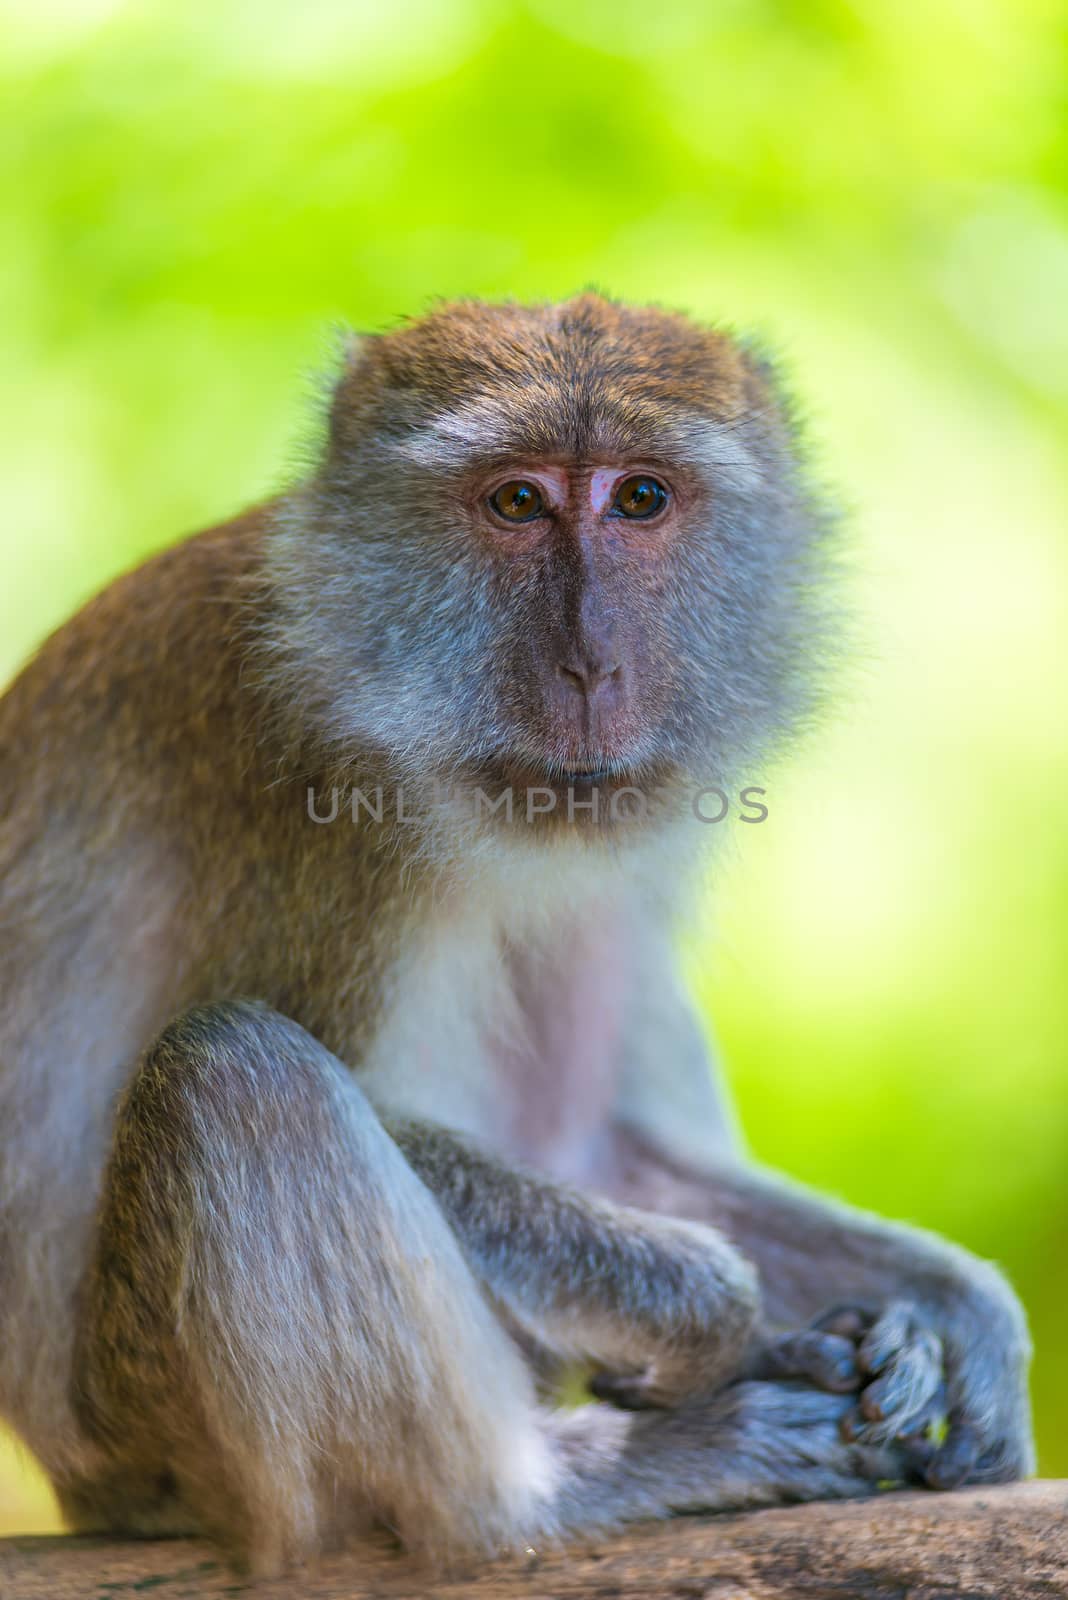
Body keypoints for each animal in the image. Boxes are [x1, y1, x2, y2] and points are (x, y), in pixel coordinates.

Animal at [0, 297, 1036, 1574]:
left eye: (639, 497)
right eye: (515, 502)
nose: (588, 663)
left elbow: (594, 1140)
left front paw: (952, 1305)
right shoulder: (313, 799)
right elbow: (365, 1095)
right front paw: (717, 1317)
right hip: (155, 1428)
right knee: (234, 1071)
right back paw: (547, 1491)